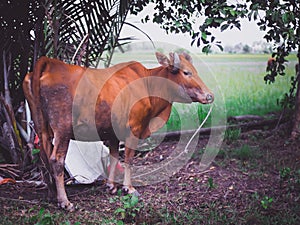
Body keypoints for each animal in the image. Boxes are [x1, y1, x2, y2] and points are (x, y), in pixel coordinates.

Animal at [22, 51, 213, 210]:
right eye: (186, 72)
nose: (209, 95)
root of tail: (49, 62)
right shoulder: (134, 128)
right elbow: (128, 158)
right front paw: (129, 187)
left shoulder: (112, 132)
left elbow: (114, 156)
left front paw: (111, 185)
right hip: (63, 130)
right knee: (56, 160)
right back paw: (64, 201)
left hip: (41, 127)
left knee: (44, 156)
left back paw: (52, 194)